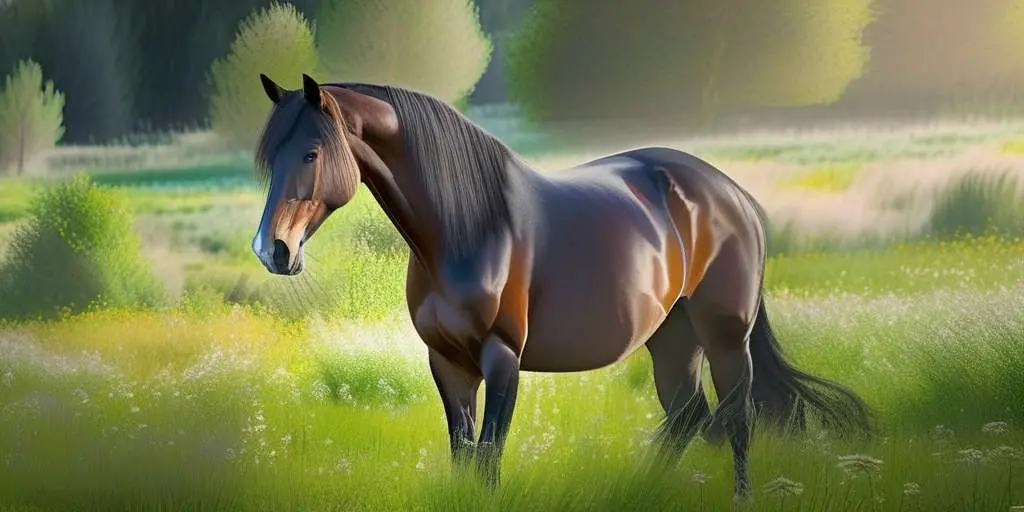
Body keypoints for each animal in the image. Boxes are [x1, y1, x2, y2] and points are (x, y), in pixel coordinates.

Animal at [250, 73, 873, 500]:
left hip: (724, 335)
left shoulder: (502, 357)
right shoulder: (447, 362)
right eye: (270, 157)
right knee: (687, 414)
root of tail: (732, 194)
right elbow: (463, 452)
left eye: (311, 152)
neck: (467, 226)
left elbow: (489, 456)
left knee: (737, 418)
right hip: (672, 337)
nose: (272, 249)